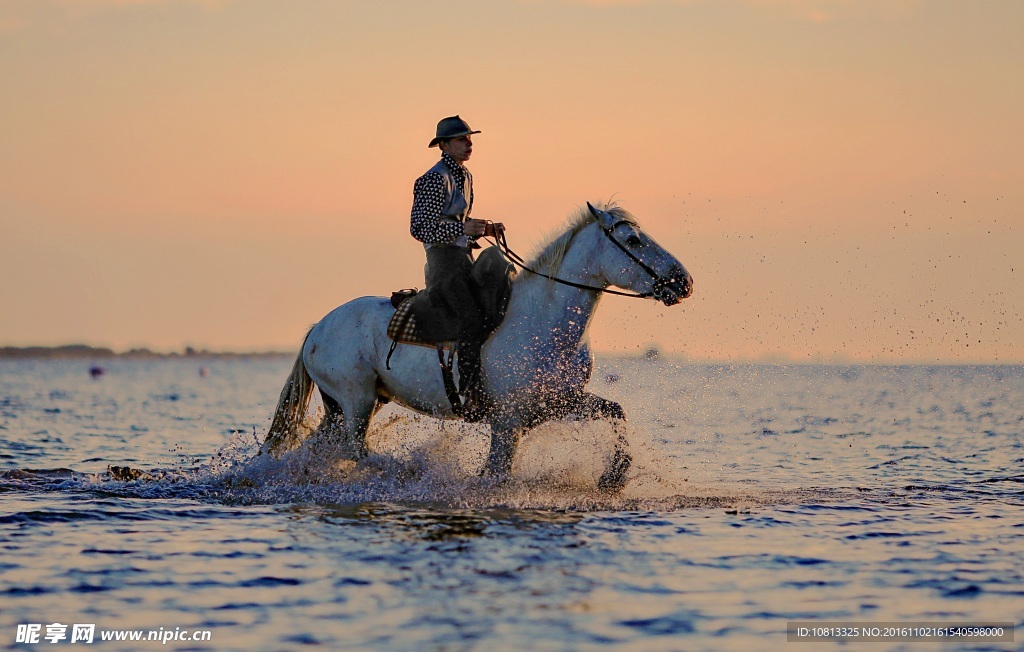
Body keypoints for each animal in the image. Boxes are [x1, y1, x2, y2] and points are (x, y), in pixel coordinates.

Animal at [262, 203, 696, 487]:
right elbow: (498, 474)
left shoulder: (559, 402)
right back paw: (408, 470)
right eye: (633, 239)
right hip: (356, 400)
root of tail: (318, 328)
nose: (683, 281)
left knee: (325, 447)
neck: (544, 324)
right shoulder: (507, 421)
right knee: (355, 450)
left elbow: (615, 411)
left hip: (347, 405)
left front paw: (614, 476)